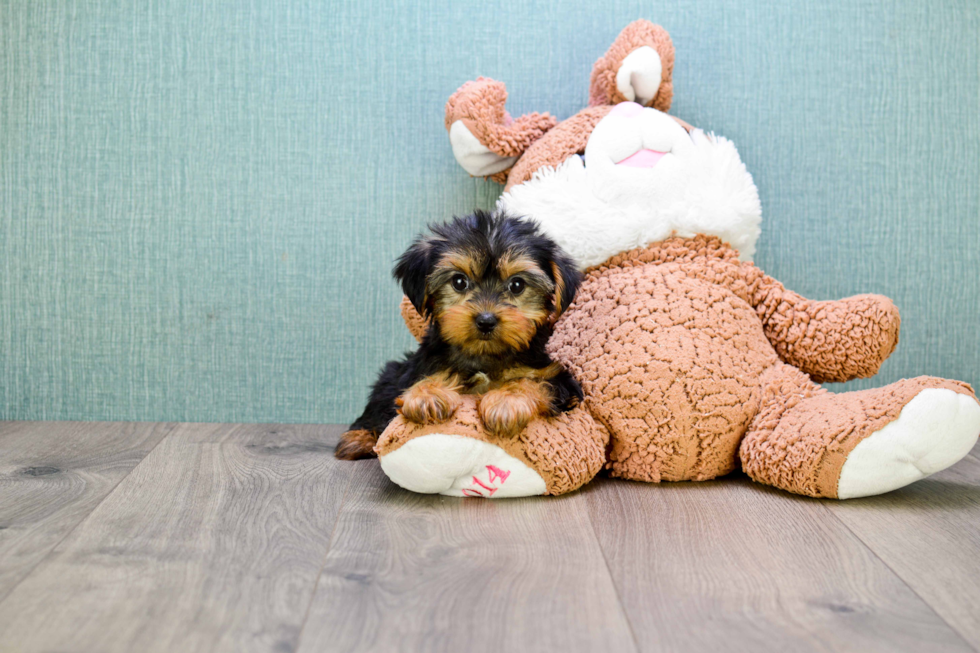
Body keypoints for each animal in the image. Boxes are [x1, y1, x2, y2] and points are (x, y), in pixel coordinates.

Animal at [334, 209, 580, 458]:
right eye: (459, 282)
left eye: (517, 285)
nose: (486, 321)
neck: (484, 355)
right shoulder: (423, 364)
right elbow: (430, 376)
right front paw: (427, 394)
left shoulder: (559, 380)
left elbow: (533, 382)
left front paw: (506, 402)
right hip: (391, 373)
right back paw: (358, 439)